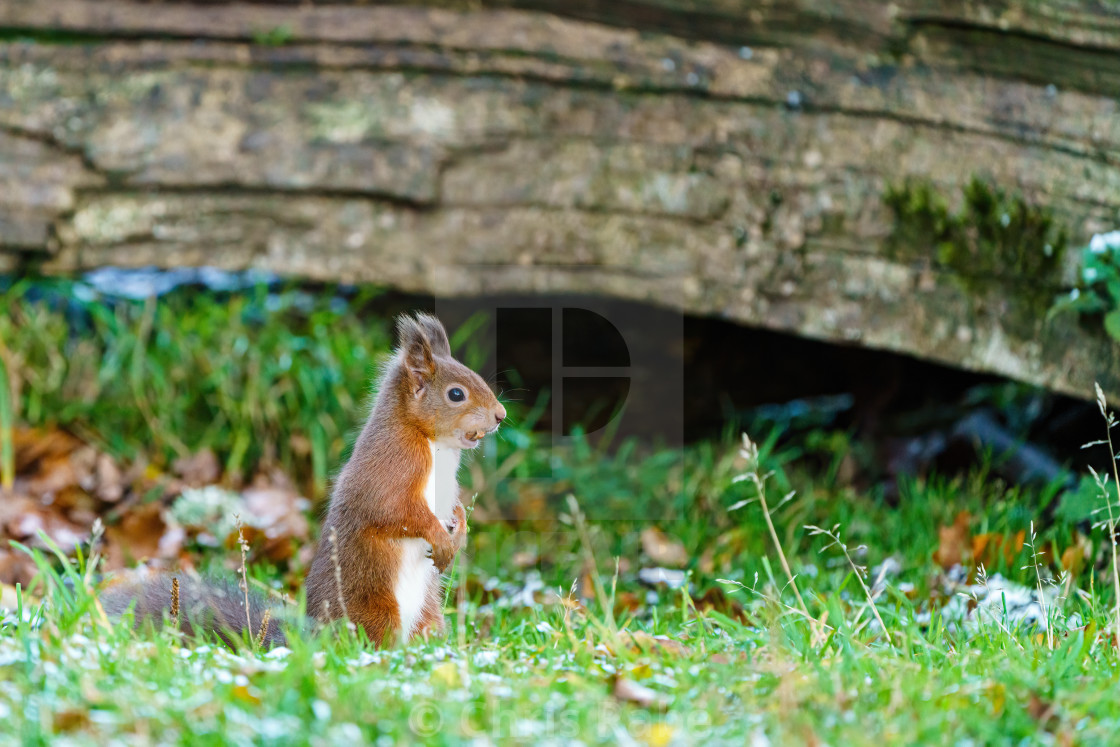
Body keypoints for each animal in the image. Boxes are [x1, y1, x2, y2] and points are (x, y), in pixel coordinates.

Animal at [103, 313, 506, 645]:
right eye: (456, 394)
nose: (501, 415)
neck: (435, 444)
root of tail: (312, 637)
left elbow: (454, 507)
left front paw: (460, 532)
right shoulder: (392, 469)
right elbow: (395, 511)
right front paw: (440, 538)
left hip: (428, 615)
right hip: (374, 610)